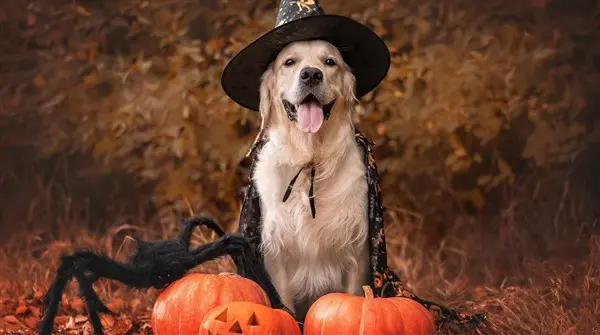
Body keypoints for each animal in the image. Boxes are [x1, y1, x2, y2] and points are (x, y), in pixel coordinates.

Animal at [248, 39, 370, 320]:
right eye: (289, 62)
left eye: (330, 62)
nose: (311, 74)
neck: (309, 159)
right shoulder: (276, 251)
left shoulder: (356, 250)